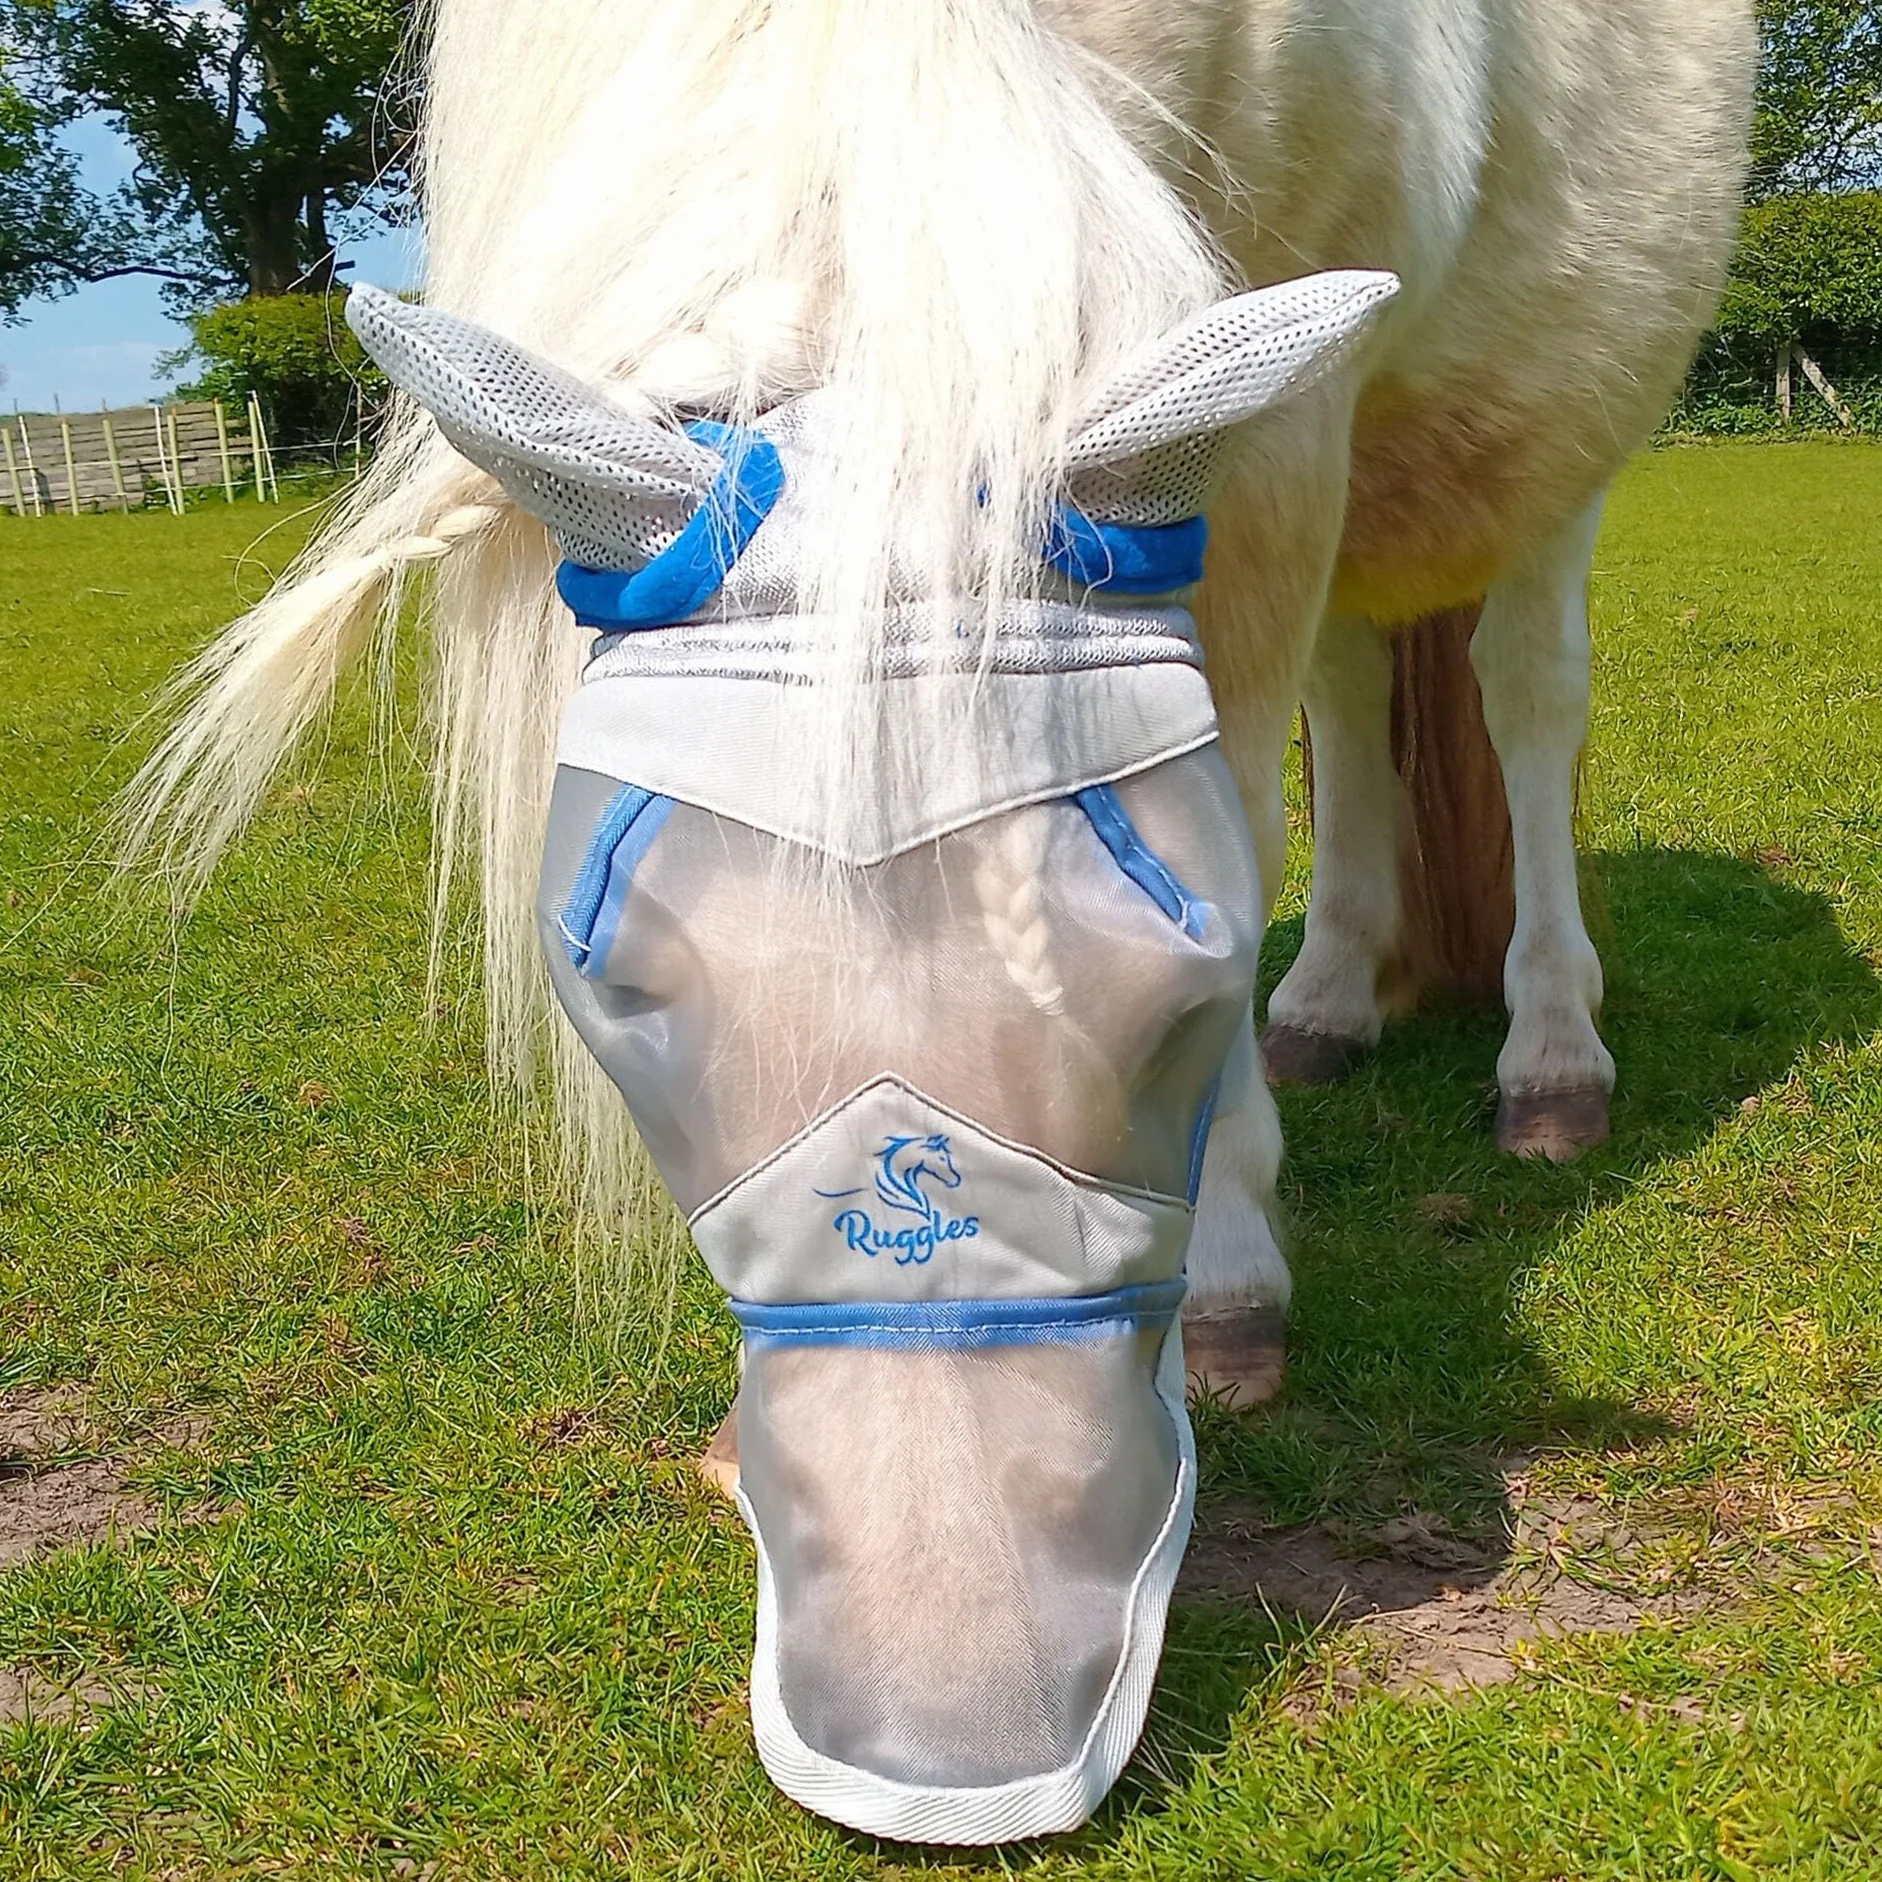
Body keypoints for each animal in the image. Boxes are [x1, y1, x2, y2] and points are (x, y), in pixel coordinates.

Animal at [124, 0, 1755, 1841]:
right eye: (608, 991)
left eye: (1181, 995)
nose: (954, 1748)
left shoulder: (1276, 440)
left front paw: (1233, 1284)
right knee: (1357, 689)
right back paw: (1334, 999)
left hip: (1553, 428)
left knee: (1523, 686)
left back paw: (1550, 1057)